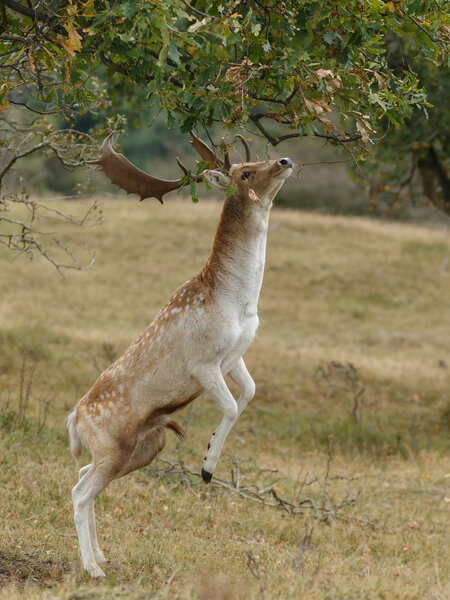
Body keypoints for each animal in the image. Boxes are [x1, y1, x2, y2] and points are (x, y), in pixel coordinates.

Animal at [66, 131, 292, 576]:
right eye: (245, 172)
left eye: (260, 158)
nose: (286, 161)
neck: (236, 300)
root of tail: (75, 420)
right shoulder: (202, 363)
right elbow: (230, 406)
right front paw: (206, 468)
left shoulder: (236, 355)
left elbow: (250, 392)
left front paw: (208, 455)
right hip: (113, 446)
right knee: (81, 493)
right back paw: (93, 569)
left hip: (144, 447)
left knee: (81, 477)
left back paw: (101, 555)